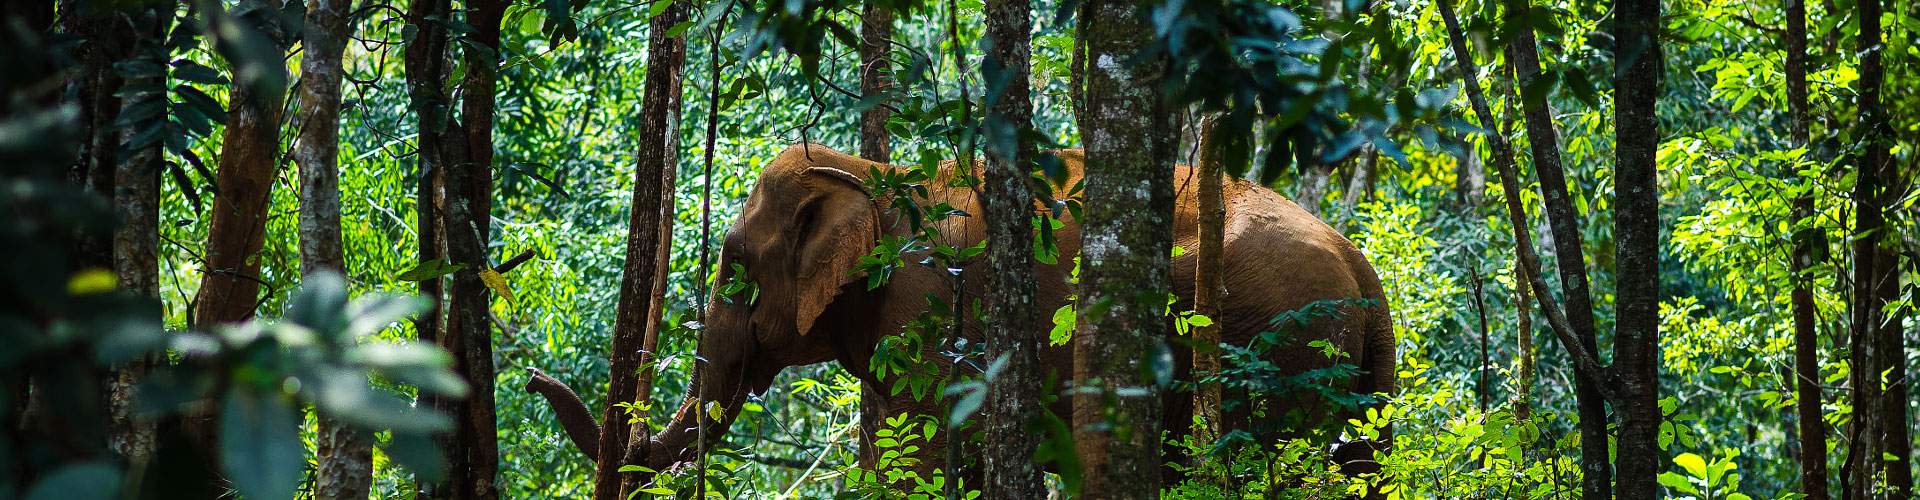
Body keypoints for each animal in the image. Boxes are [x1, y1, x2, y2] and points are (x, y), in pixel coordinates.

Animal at [629, 142, 1397, 482]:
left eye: (733, 264)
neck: (873, 175)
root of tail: (1360, 263)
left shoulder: (933, 312)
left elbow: (931, 454)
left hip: (1278, 343)